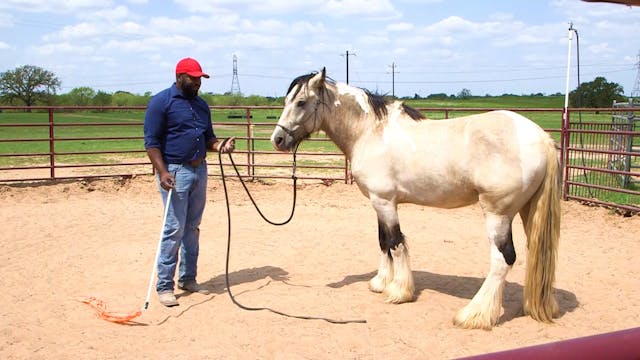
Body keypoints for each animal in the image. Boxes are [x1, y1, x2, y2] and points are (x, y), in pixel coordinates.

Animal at [270, 67, 560, 330]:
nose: (278, 139)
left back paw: (474, 315)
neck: (370, 132)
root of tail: (541, 138)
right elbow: (383, 242)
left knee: (503, 260)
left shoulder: (385, 202)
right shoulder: (379, 203)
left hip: (498, 214)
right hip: (527, 210)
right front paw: (381, 283)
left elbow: (396, 244)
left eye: (301, 102)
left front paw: (399, 291)